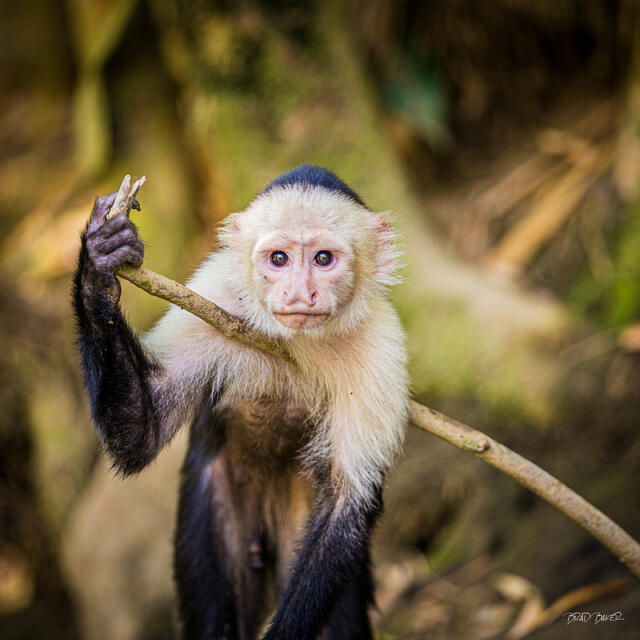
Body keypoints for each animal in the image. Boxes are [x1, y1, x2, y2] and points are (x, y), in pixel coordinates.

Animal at [72, 165, 409, 640]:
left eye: (323, 259)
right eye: (279, 259)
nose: (298, 295)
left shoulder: (380, 342)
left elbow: (347, 507)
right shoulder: (216, 295)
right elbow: (142, 433)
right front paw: (100, 267)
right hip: (217, 502)